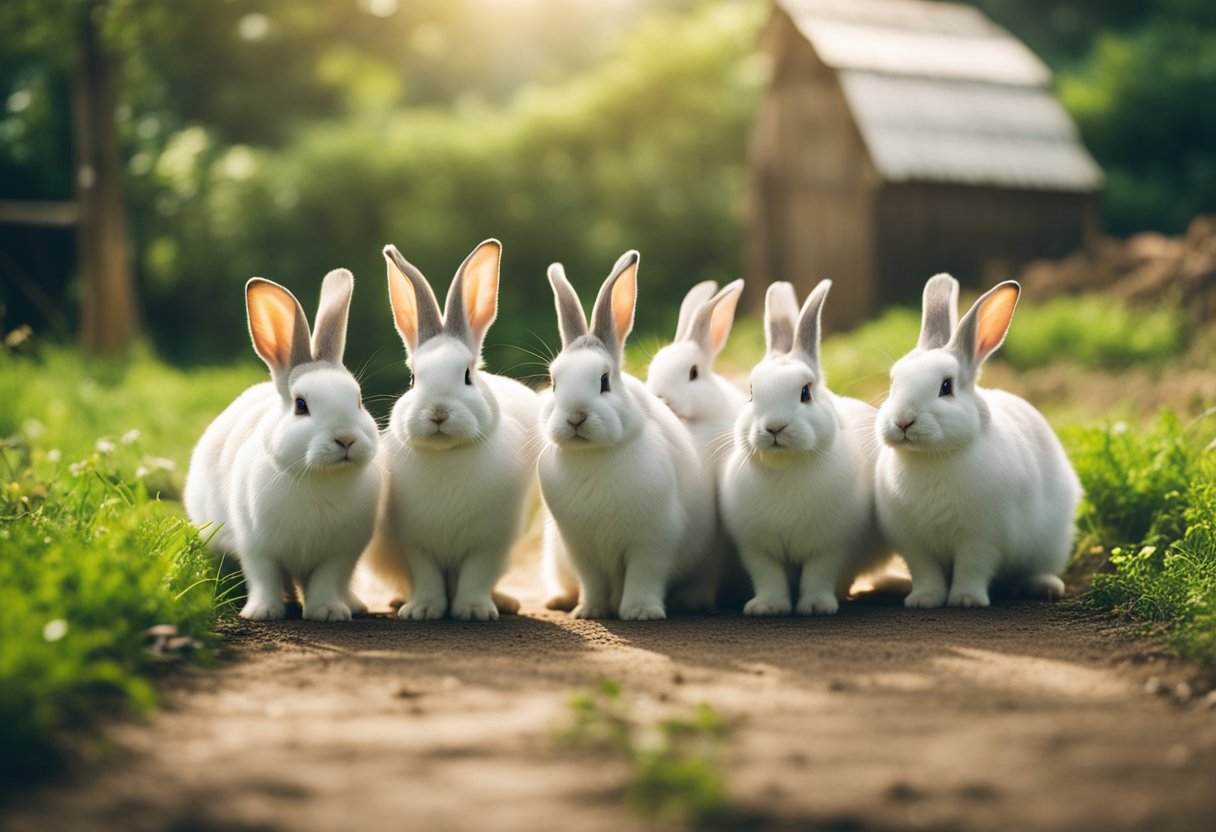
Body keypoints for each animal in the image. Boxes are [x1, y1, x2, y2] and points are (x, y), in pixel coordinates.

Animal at [184, 269, 380, 621]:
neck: (319, 478)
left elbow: (328, 580)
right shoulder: (256, 545)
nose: (346, 438)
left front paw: (328, 611)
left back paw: (354, 604)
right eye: (301, 405)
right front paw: (263, 612)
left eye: (358, 401)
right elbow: (264, 577)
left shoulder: (340, 553)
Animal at [365, 239, 540, 621]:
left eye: (468, 375)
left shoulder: (488, 542)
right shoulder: (414, 542)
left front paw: (473, 611)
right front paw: (422, 610)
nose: (438, 413)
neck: (446, 457)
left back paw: (505, 602)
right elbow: (426, 576)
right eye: (412, 378)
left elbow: (476, 575)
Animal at [537, 250, 717, 620]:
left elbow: (643, 576)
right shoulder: (579, 546)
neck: (592, 456)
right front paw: (588, 612)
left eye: (605, 381)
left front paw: (640, 611)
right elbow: (592, 582)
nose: (575, 418)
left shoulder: (653, 539)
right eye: (554, 382)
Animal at [720, 280, 890, 616]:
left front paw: (815, 606)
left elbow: (818, 574)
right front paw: (767, 606)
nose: (774, 427)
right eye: (751, 392)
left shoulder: (830, 546)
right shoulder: (758, 549)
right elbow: (769, 577)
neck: (785, 467)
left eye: (805, 392)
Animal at [874, 274, 1082, 609]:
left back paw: (1043, 586)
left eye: (946, 386)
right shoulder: (914, 543)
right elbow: (926, 573)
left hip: (1052, 543)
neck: (931, 457)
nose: (903, 421)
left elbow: (971, 568)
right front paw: (923, 599)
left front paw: (966, 599)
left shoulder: (981, 537)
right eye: (894, 382)